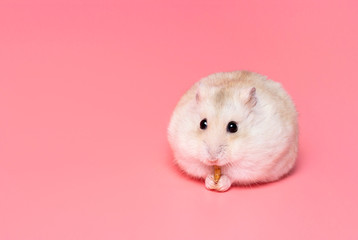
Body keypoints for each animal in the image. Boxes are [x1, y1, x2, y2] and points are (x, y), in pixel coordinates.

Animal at [168, 71, 300, 191]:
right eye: (202, 123)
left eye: (233, 127)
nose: (212, 159)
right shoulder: (186, 155)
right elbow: (202, 171)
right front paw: (211, 181)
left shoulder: (252, 163)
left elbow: (233, 175)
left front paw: (221, 184)